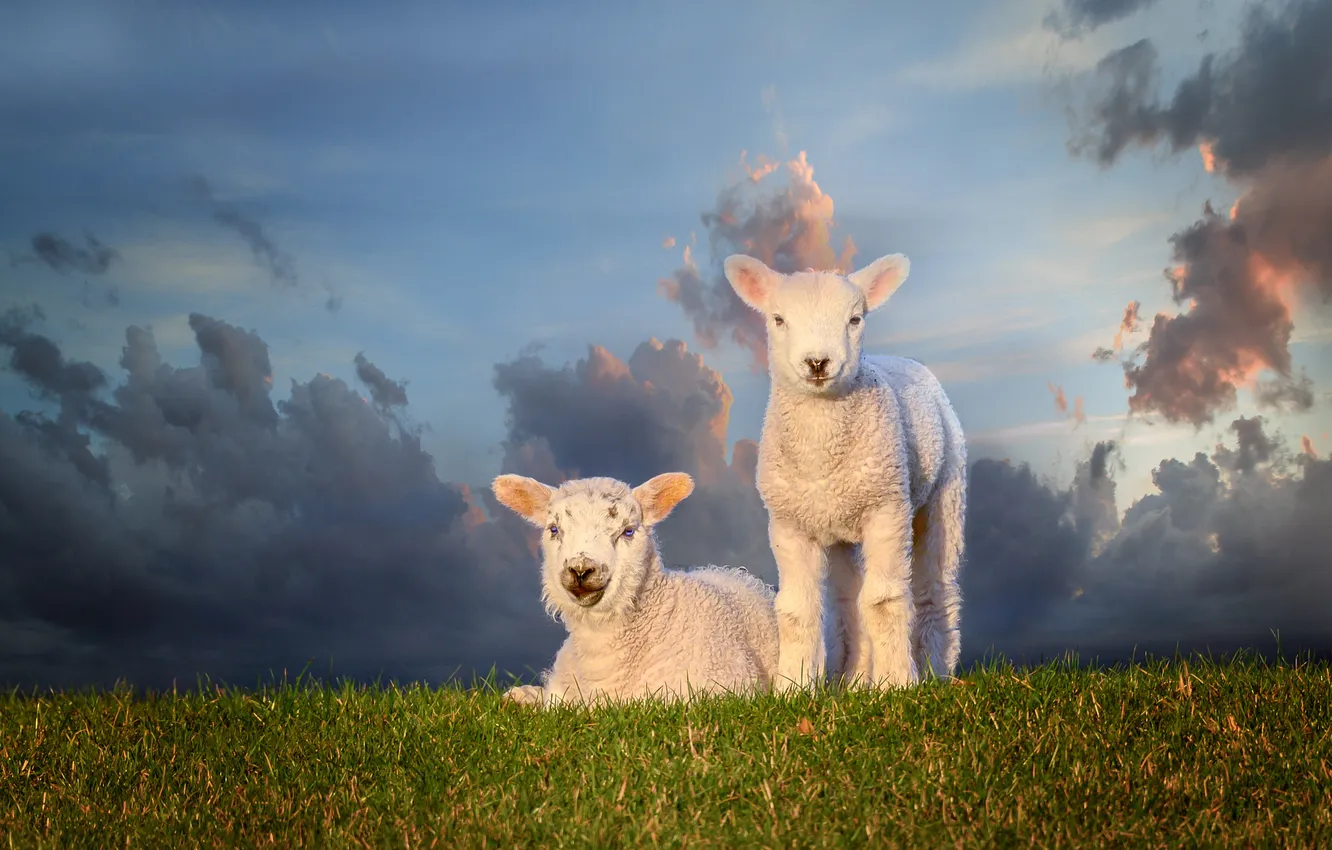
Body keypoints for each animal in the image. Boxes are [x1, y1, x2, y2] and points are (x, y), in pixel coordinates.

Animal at [723, 252, 967, 692]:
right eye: (778, 319)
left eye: (855, 319)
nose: (818, 362)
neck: (822, 456)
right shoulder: (788, 523)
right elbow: (797, 610)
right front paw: (792, 687)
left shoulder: (887, 510)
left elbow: (884, 600)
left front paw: (896, 684)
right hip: (837, 528)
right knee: (847, 601)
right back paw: (853, 681)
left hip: (944, 494)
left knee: (935, 588)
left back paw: (934, 672)